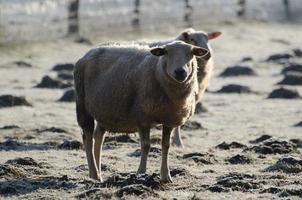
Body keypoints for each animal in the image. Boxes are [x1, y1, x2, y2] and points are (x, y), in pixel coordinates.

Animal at [74, 40, 209, 183]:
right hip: (82, 105)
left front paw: (166, 176)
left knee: (98, 138)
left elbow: (166, 146)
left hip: (104, 112)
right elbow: (145, 145)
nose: (180, 72)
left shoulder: (169, 120)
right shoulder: (143, 117)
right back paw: (94, 174)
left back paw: (99, 174)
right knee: (88, 139)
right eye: (166, 52)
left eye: (191, 53)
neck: (157, 71)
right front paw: (141, 172)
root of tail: (89, 53)